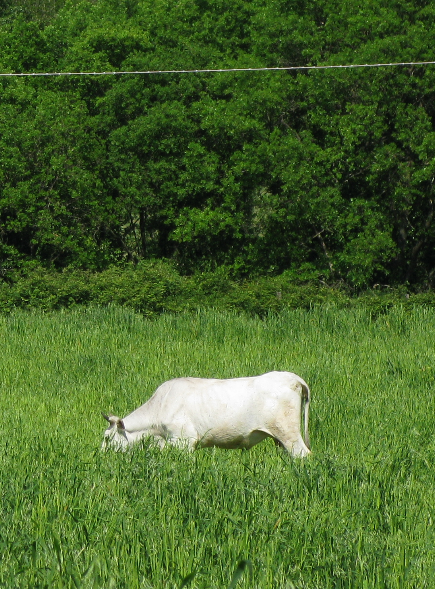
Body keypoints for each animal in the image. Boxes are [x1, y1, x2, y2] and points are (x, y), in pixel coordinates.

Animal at [101, 370, 314, 458]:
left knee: (303, 455)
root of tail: (292, 378)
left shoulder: (184, 441)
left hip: (288, 433)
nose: (100, 456)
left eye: (107, 438)